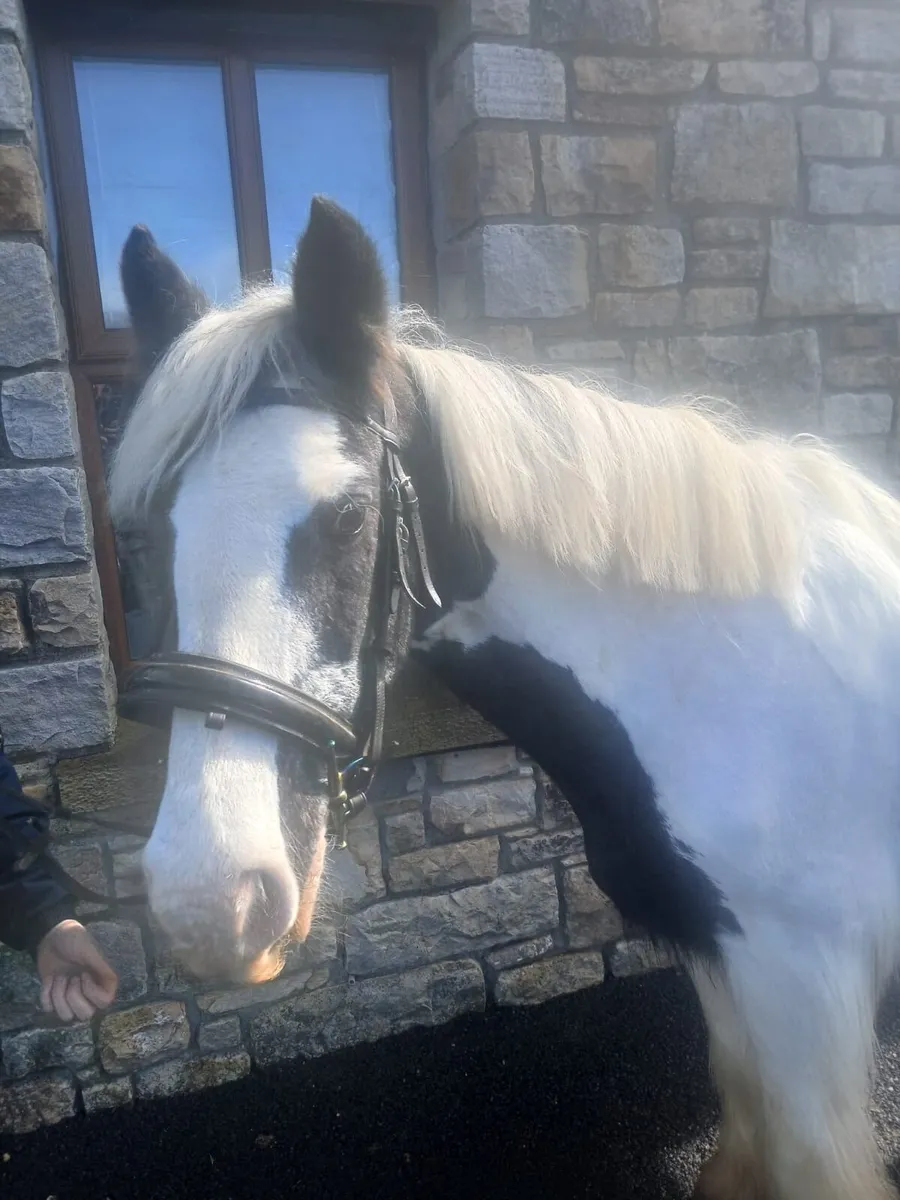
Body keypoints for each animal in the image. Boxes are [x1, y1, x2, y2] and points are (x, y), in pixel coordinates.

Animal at [108, 196, 900, 1200]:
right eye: (143, 531)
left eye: (350, 517)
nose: (209, 899)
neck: (732, 687)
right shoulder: (724, 954)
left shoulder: (806, 979)